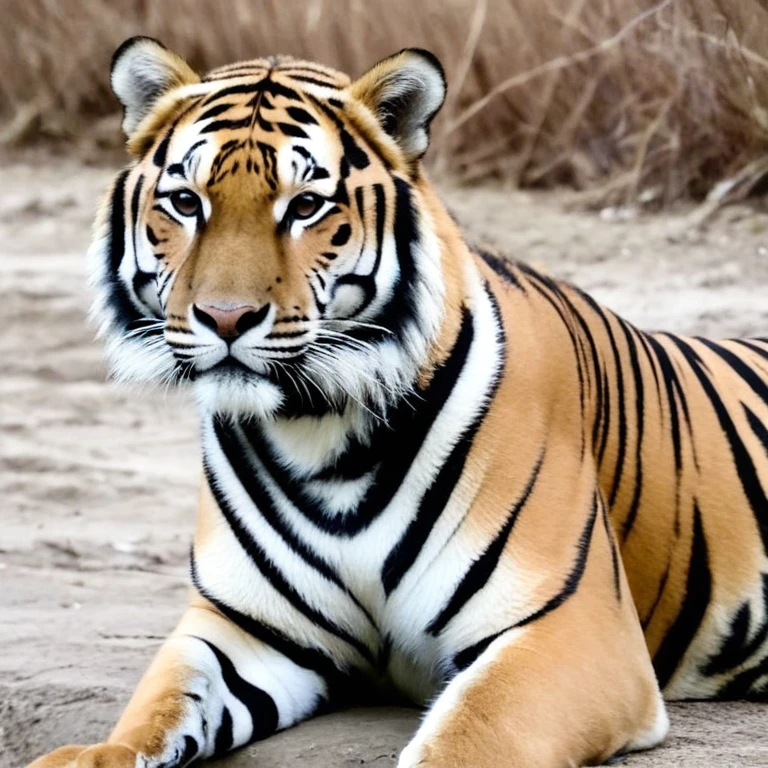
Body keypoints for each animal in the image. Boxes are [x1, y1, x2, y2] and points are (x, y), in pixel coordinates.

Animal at [29, 36, 768, 768]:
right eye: (186, 203)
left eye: (305, 207)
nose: (225, 317)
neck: (318, 432)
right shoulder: (245, 628)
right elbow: (154, 709)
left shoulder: (566, 625)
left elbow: (470, 737)